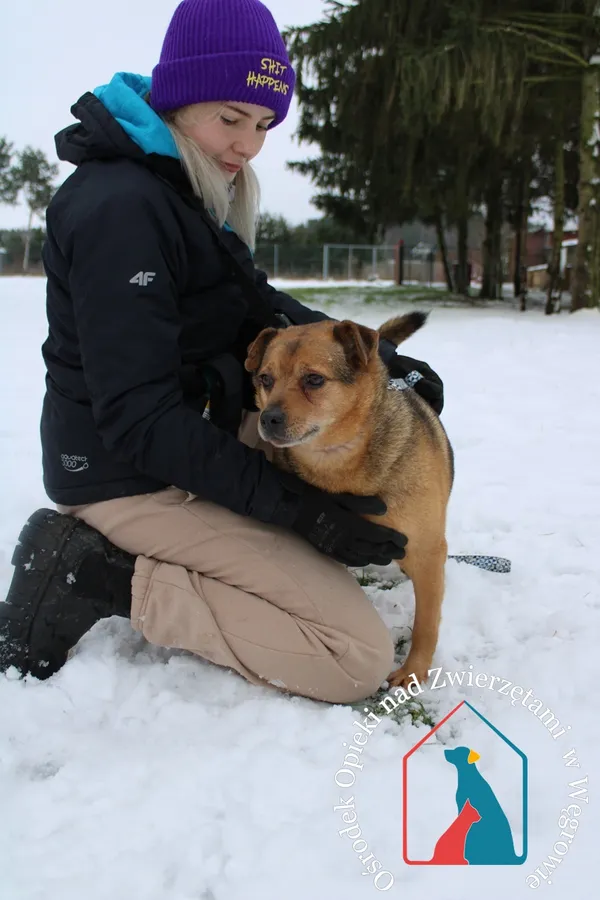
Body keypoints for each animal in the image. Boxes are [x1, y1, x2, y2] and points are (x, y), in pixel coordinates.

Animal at [244, 312, 454, 688]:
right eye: (266, 379)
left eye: (314, 379)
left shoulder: (428, 550)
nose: (268, 419)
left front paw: (413, 671)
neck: (339, 456)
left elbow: (426, 624)